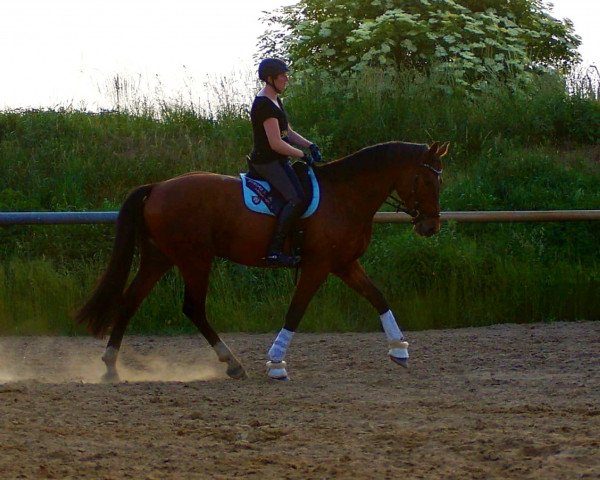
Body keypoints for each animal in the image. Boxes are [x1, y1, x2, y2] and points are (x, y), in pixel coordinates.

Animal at [75, 141, 448, 380]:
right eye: (427, 179)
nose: (431, 227)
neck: (345, 196)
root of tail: (157, 187)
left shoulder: (344, 263)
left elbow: (378, 297)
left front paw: (399, 350)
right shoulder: (317, 265)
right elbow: (296, 311)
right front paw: (276, 364)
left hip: (160, 257)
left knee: (130, 301)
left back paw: (111, 365)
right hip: (195, 259)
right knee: (193, 308)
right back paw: (232, 363)